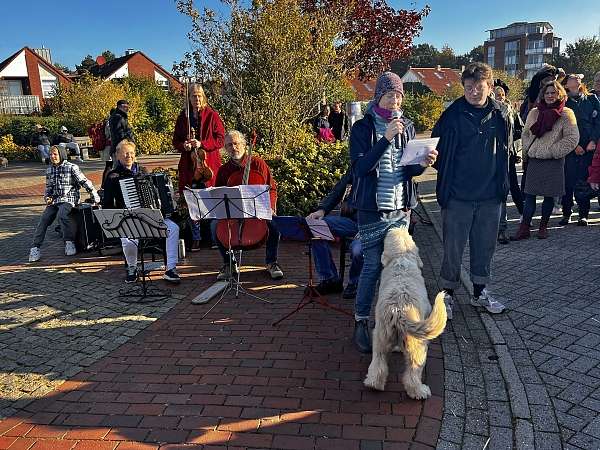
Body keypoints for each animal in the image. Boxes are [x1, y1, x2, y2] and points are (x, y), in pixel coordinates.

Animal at [364, 227, 448, 400]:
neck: (401, 258)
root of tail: (399, 309)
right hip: (418, 348)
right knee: (412, 375)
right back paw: (420, 392)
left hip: (380, 337)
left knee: (378, 364)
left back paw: (374, 384)